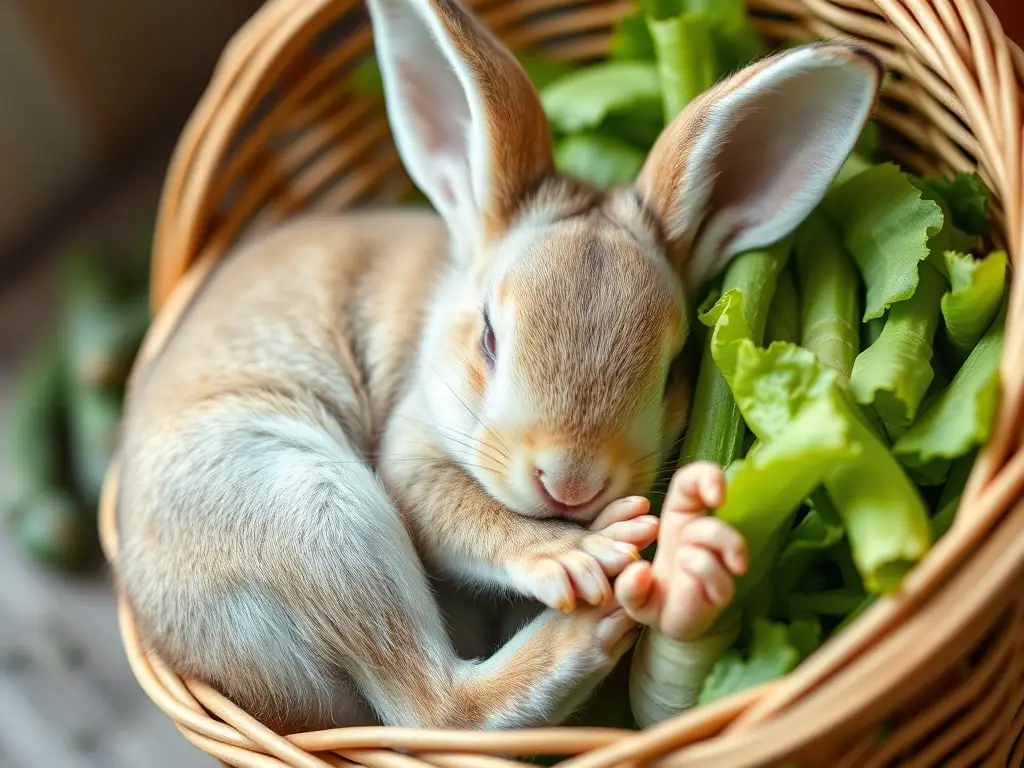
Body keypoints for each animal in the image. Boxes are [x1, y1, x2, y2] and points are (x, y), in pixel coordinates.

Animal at [114, 0, 882, 734]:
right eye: (488, 337)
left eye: (673, 370)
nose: (571, 484)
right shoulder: (412, 451)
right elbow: (461, 512)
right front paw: (575, 559)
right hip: (308, 508)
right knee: (440, 705)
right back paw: (599, 607)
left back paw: (690, 563)